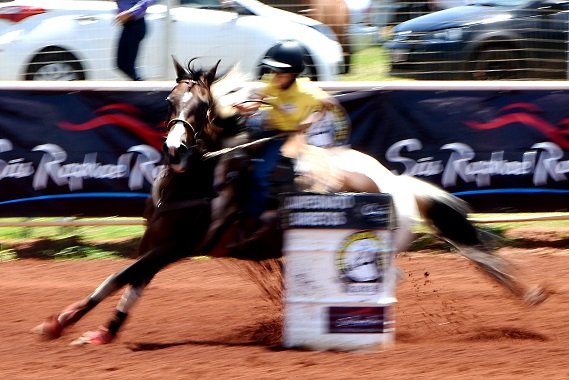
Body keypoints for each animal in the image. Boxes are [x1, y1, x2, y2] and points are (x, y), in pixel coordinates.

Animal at [33, 58, 548, 346]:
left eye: (202, 107)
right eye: (170, 101)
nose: (176, 150)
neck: (198, 179)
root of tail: (398, 185)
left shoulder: (175, 247)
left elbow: (117, 278)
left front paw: (58, 324)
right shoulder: (157, 245)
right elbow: (130, 283)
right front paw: (102, 332)